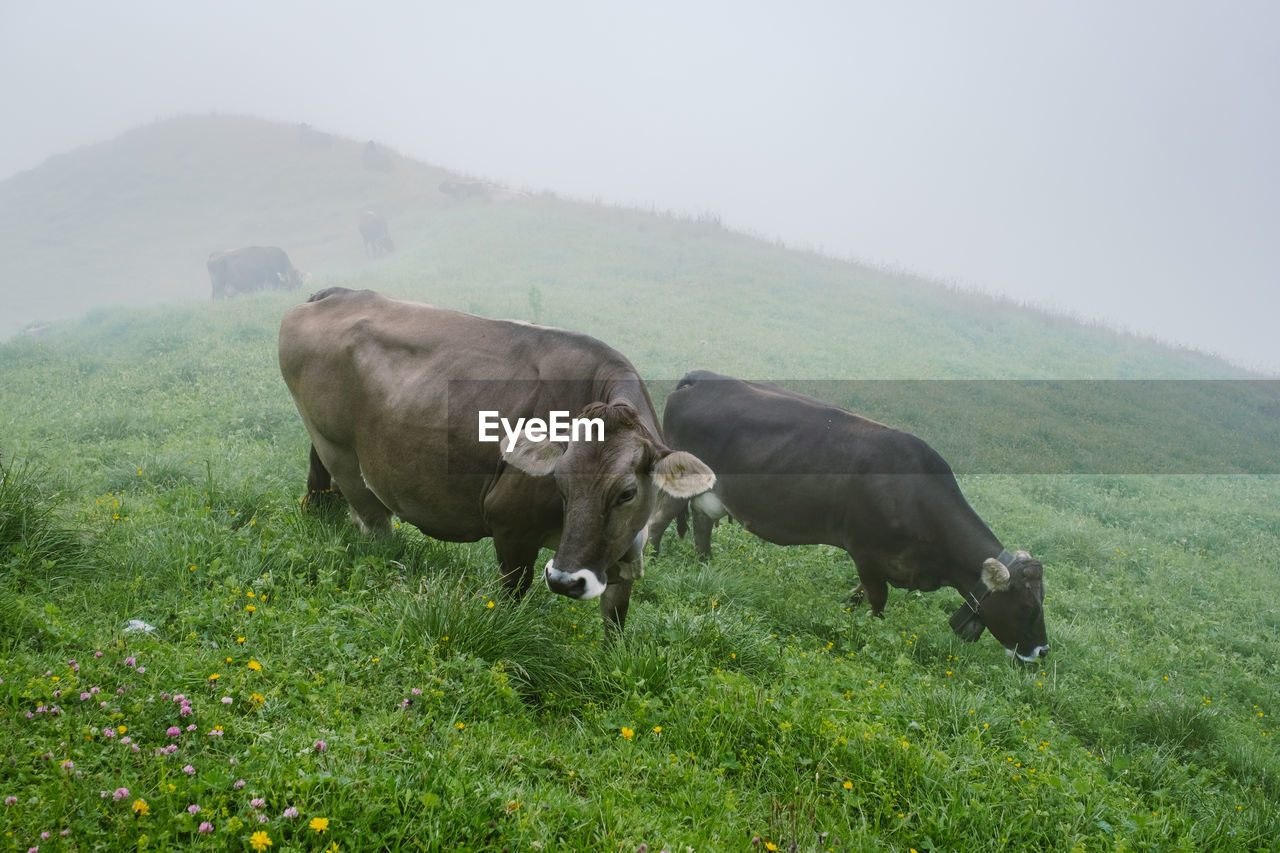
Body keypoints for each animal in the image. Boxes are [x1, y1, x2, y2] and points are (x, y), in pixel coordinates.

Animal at [280, 289, 716, 627]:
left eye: (627, 493)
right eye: (559, 482)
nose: (565, 581)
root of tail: (338, 293)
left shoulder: (623, 554)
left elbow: (616, 621)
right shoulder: (511, 527)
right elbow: (511, 601)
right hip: (339, 450)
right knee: (372, 522)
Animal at [650, 366, 1049, 655]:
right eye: (1027, 608)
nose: (1042, 651)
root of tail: (698, 377)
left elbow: (859, 594)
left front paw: (846, 607)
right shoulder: (866, 551)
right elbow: (877, 598)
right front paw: (873, 629)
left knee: (701, 525)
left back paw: (706, 567)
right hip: (681, 480)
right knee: (658, 521)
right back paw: (654, 562)